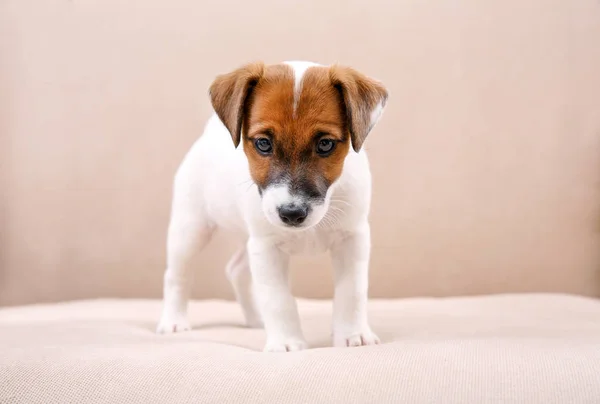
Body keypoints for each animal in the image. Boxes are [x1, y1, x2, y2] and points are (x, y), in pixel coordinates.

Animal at [157, 59, 386, 350]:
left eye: (325, 144)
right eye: (263, 143)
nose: (292, 213)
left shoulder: (352, 238)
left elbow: (352, 291)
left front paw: (353, 334)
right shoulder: (267, 247)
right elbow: (278, 299)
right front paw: (287, 342)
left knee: (236, 270)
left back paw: (256, 319)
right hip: (190, 230)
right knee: (177, 275)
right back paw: (174, 321)